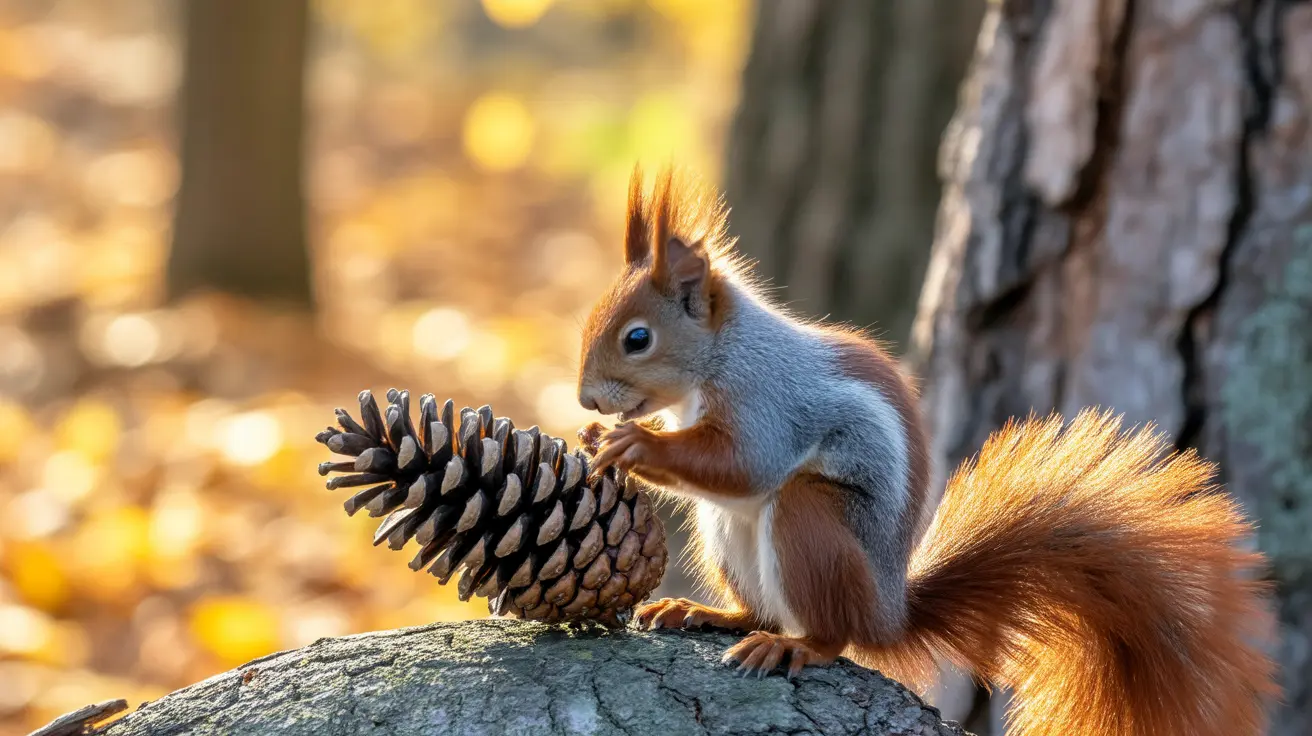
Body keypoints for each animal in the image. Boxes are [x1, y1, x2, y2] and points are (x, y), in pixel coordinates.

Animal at [576, 165, 1278, 736]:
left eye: (637, 338)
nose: (584, 399)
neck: (720, 356)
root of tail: (889, 611)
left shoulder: (768, 401)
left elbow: (746, 464)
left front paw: (635, 441)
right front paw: (597, 440)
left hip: (813, 527)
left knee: (829, 628)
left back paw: (799, 646)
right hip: (725, 532)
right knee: (762, 611)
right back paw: (708, 612)